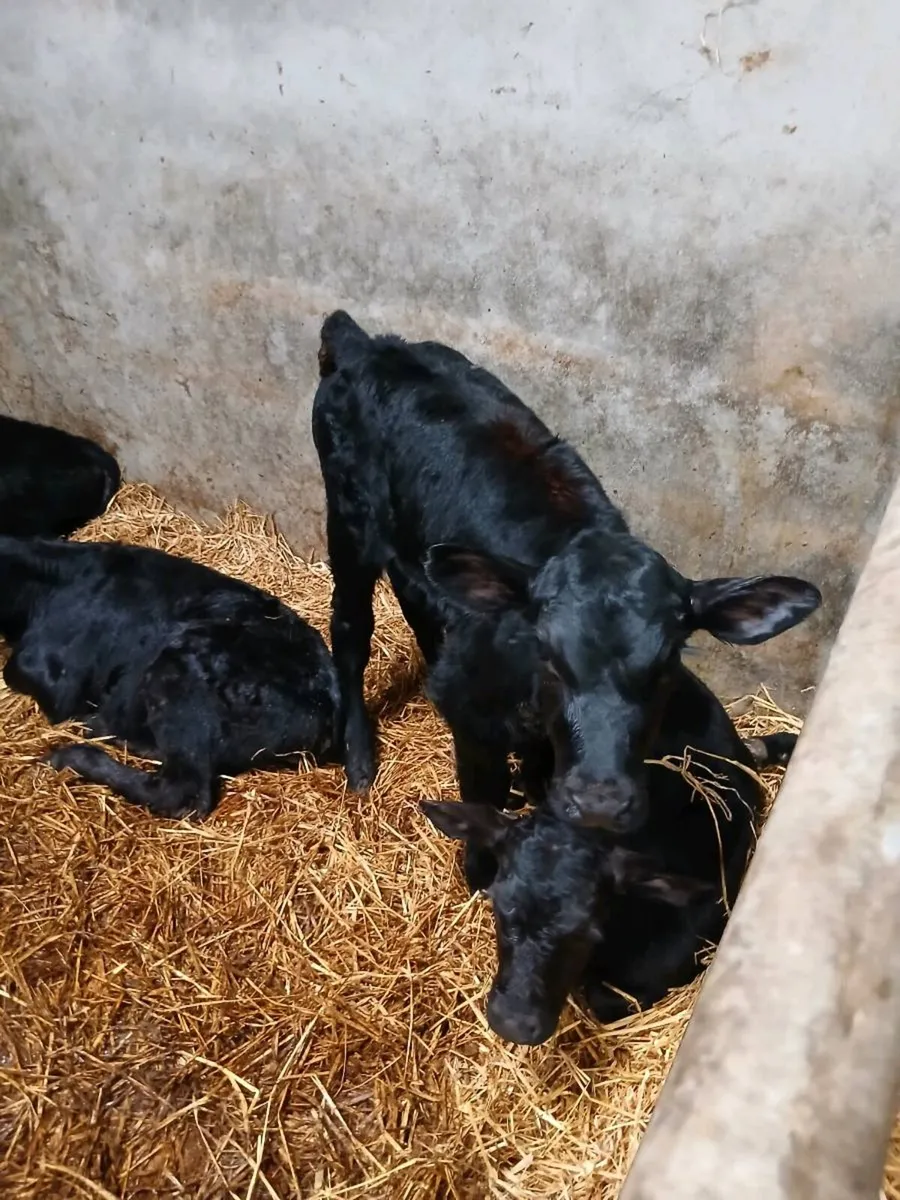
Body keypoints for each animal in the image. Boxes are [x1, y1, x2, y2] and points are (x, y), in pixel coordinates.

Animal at [312, 310, 820, 832]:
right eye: (550, 656)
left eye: (665, 665)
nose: (600, 803)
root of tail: (372, 345)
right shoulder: (471, 722)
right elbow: (483, 799)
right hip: (349, 522)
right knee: (351, 629)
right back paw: (359, 760)